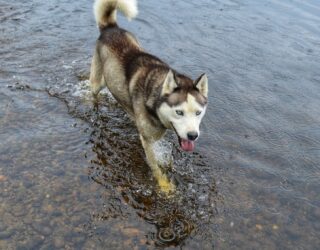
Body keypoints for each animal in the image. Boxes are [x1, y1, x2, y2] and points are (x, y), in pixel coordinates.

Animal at [90, 0, 208, 192]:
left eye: (198, 112)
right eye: (179, 112)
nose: (192, 135)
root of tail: (110, 28)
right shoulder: (147, 139)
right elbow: (154, 165)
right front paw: (164, 186)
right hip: (98, 82)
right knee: (92, 92)